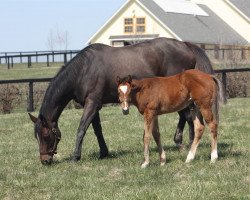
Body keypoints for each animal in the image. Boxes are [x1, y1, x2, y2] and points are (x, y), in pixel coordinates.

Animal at [28, 37, 214, 164]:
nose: (45, 160)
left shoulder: (91, 103)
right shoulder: (95, 105)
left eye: (46, 135)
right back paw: (182, 141)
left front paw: (76, 156)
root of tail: (185, 45)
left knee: (187, 116)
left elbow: (82, 128)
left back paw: (186, 143)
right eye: (36, 136)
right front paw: (103, 152)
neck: (84, 70)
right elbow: (97, 130)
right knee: (185, 116)